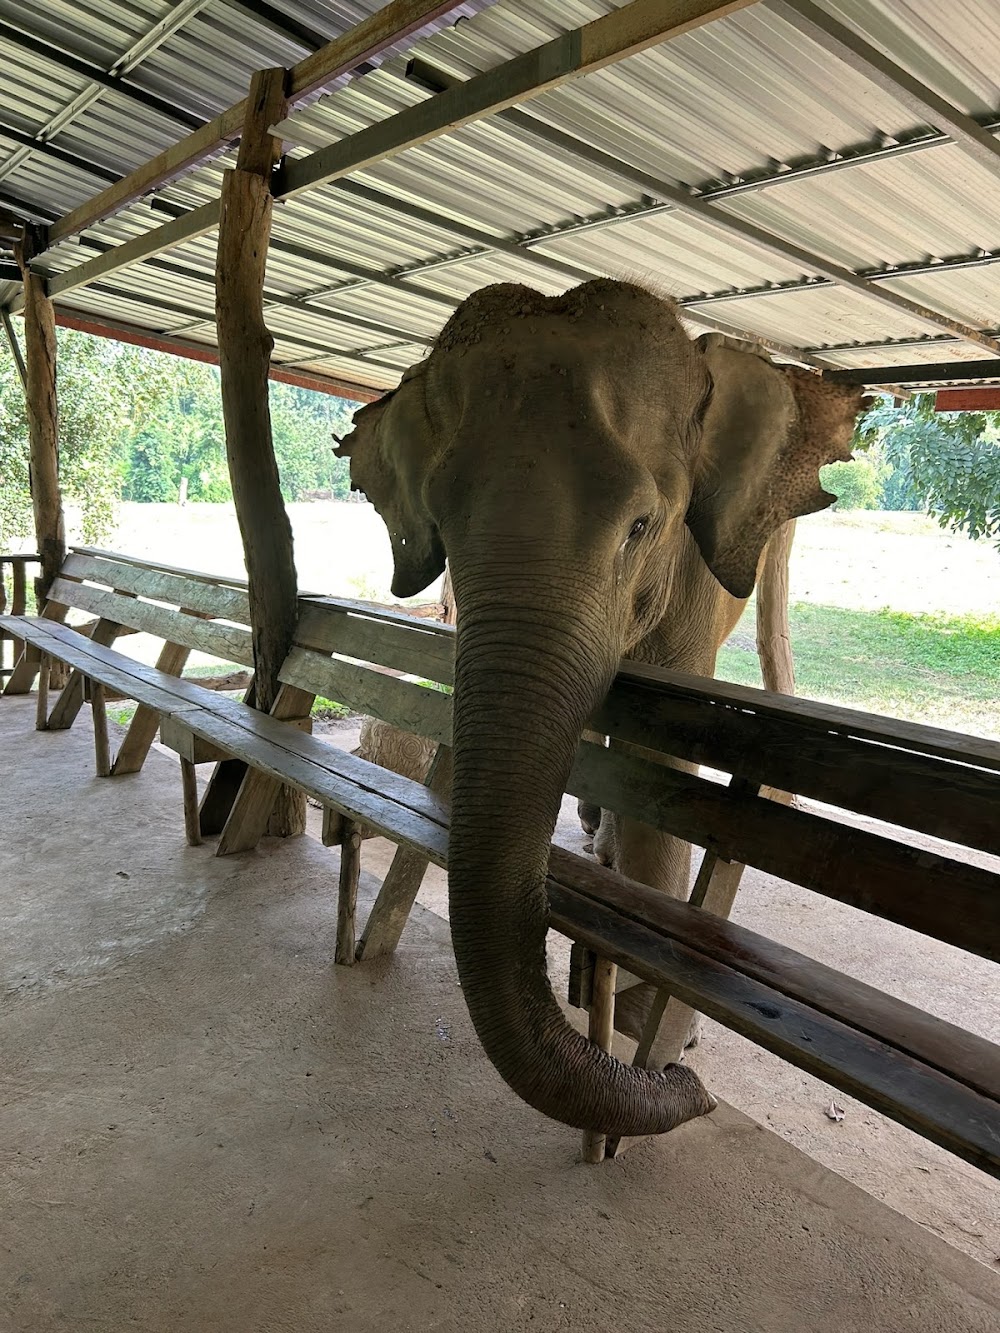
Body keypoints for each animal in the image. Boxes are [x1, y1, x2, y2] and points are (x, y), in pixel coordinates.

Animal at [337, 278, 869, 1135]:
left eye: (641, 526)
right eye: (440, 528)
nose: (690, 1090)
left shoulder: (693, 582)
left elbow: (663, 762)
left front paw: (647, 1019)